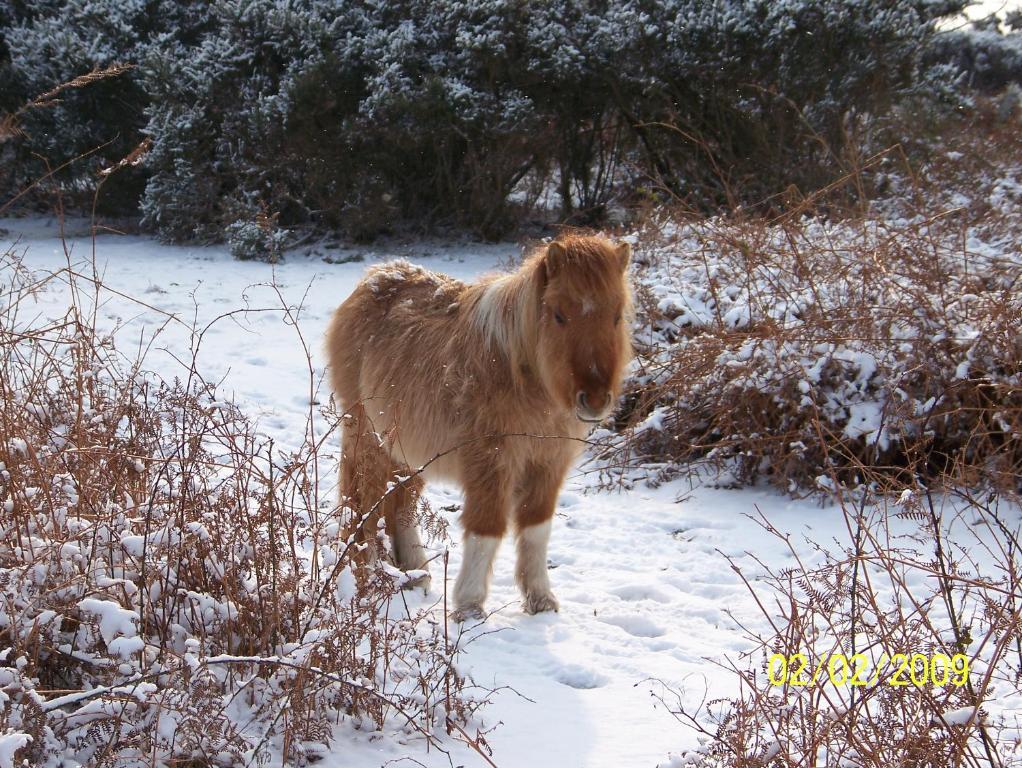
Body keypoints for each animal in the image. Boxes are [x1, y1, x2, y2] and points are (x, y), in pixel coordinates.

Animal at [324, 233, 629, 617]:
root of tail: (375, 277)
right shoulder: (490, 462)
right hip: (367, 437)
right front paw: (469, 606)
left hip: (406, 447)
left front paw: (540, 599)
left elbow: (537, 528)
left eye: (617, 315)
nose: (595, 399)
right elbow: (487, 526)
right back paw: (367, 570)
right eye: (559, 315)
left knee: (402, 504)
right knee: (365, 502)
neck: (516, 371)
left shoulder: (548, 464)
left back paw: (414, 573)